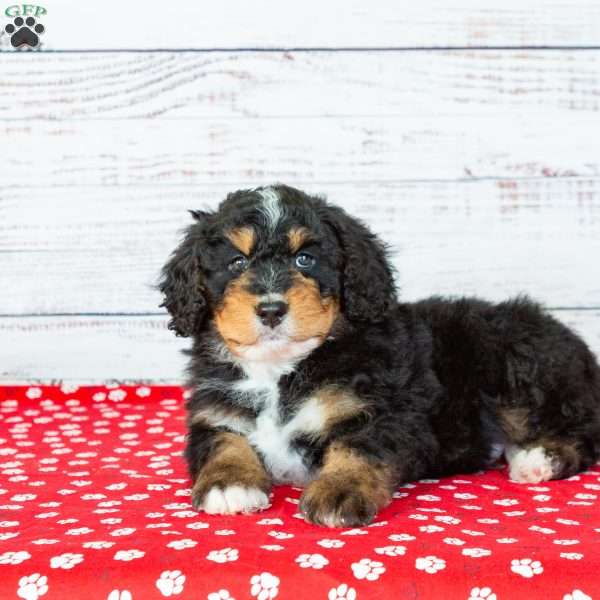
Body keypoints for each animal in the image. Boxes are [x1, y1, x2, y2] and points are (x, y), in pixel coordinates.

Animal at [159, 183, 600, 524]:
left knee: (582, 430)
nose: (270, 309)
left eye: (305, 258)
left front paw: (337, 492)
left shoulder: (385, 410)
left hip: (513, 363)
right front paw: (228, 484)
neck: (283, 370)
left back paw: (538, 457)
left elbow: (357, 447)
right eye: (236, 262)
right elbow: (221, 442)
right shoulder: (214, 412)